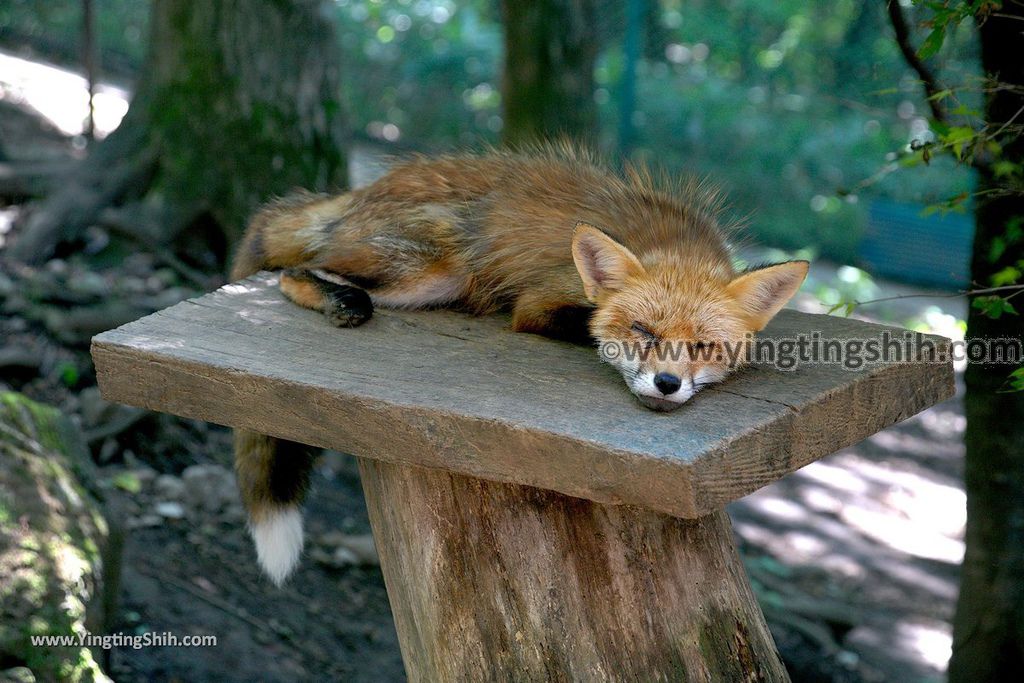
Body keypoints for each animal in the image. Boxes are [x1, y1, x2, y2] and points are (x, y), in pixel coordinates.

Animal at [230, 143, 806, 581]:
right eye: (643, 331)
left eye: (704, 347)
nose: (666, 384)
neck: (676, 242)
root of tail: (360, 191)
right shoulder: (539, 302)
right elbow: (585, 325)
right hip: (434, 264)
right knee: (294, 272)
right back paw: (341, 300)